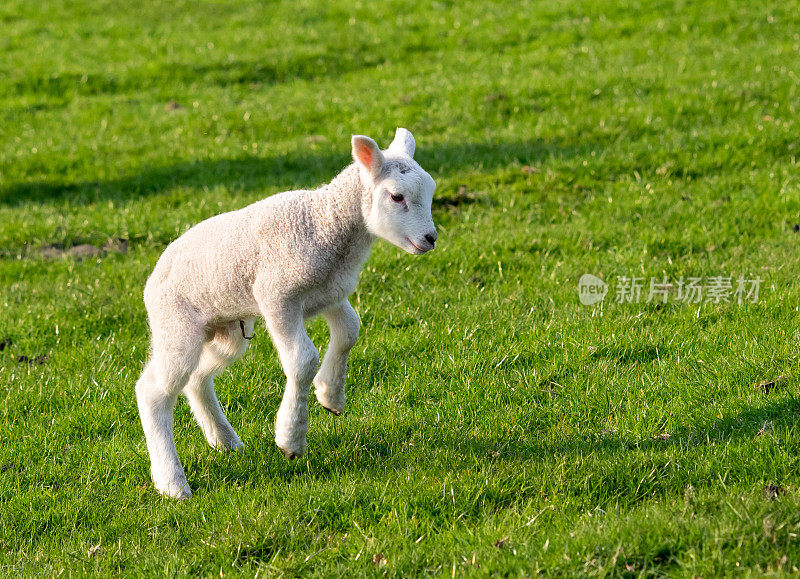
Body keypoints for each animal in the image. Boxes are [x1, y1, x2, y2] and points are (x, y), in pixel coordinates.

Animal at [138, 127, 438, 498]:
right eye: (397, 197)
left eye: (431, 191)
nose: (430, 238)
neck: (325, 222)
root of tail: (152, 279)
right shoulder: (277, 297)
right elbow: (303, 360)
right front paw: (290, 438)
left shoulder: (330, 293)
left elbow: (350, 330)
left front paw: (330, 395)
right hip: (176, 324)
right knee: (153, 390)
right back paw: (172, 483)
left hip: (227, 329)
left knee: (197, 378)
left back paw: (225, 442)